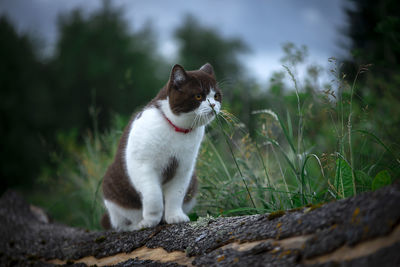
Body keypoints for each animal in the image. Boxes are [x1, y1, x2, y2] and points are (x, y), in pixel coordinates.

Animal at [101, 62, 222, 230]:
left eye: (216, 96)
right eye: (199, 96)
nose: (213, 105)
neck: (177, 130)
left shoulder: (184, 168)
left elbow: (176, 195)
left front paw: (174, 217)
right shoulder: (142, 166)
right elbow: (153, 196)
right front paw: (150, 221)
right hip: (113, 195)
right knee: (120, 223)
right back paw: (136, 225)